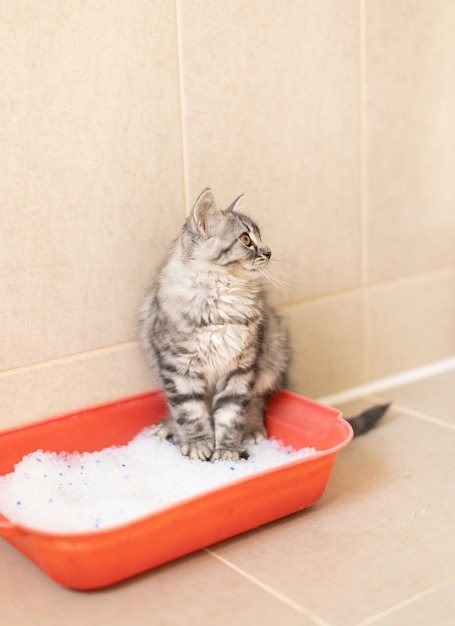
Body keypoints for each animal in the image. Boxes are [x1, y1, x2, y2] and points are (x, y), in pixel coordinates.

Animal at [139, 188, 290, 460]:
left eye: (260, 237)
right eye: (246, 239)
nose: (269, 252)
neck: (223, 294)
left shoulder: (241, 369)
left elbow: (231, 414)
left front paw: (227, 450)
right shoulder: (179, 369)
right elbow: (190, 412)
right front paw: (198, 445)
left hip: (272, 356)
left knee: (258, 400)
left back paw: (252, 429)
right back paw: (169, 428)